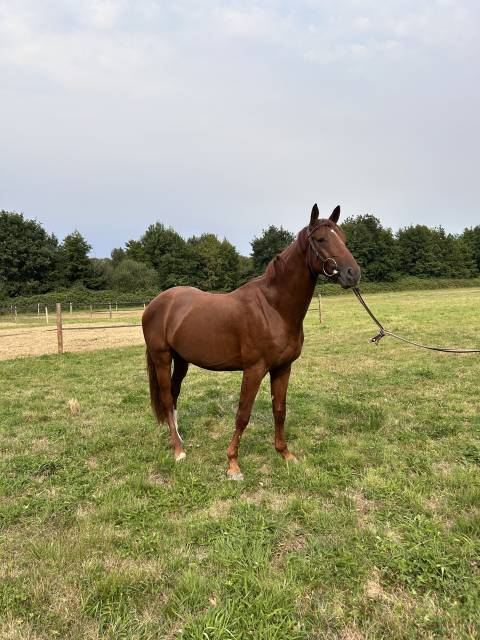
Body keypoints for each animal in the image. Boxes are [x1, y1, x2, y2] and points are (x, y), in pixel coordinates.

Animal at [142, 204, 361, 479]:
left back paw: (179, 439)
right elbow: (243, 414)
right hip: (162, 357)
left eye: (343, 239)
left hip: (181, 360)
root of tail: (156, 304)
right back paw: (179, 451)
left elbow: (279, 409)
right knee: (167, 397)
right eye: (321, 239)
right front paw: (233, 464)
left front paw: (285, 454)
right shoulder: (254, 369)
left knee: (173, 395)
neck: (273, 308)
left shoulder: (283, 368)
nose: (353, 274)